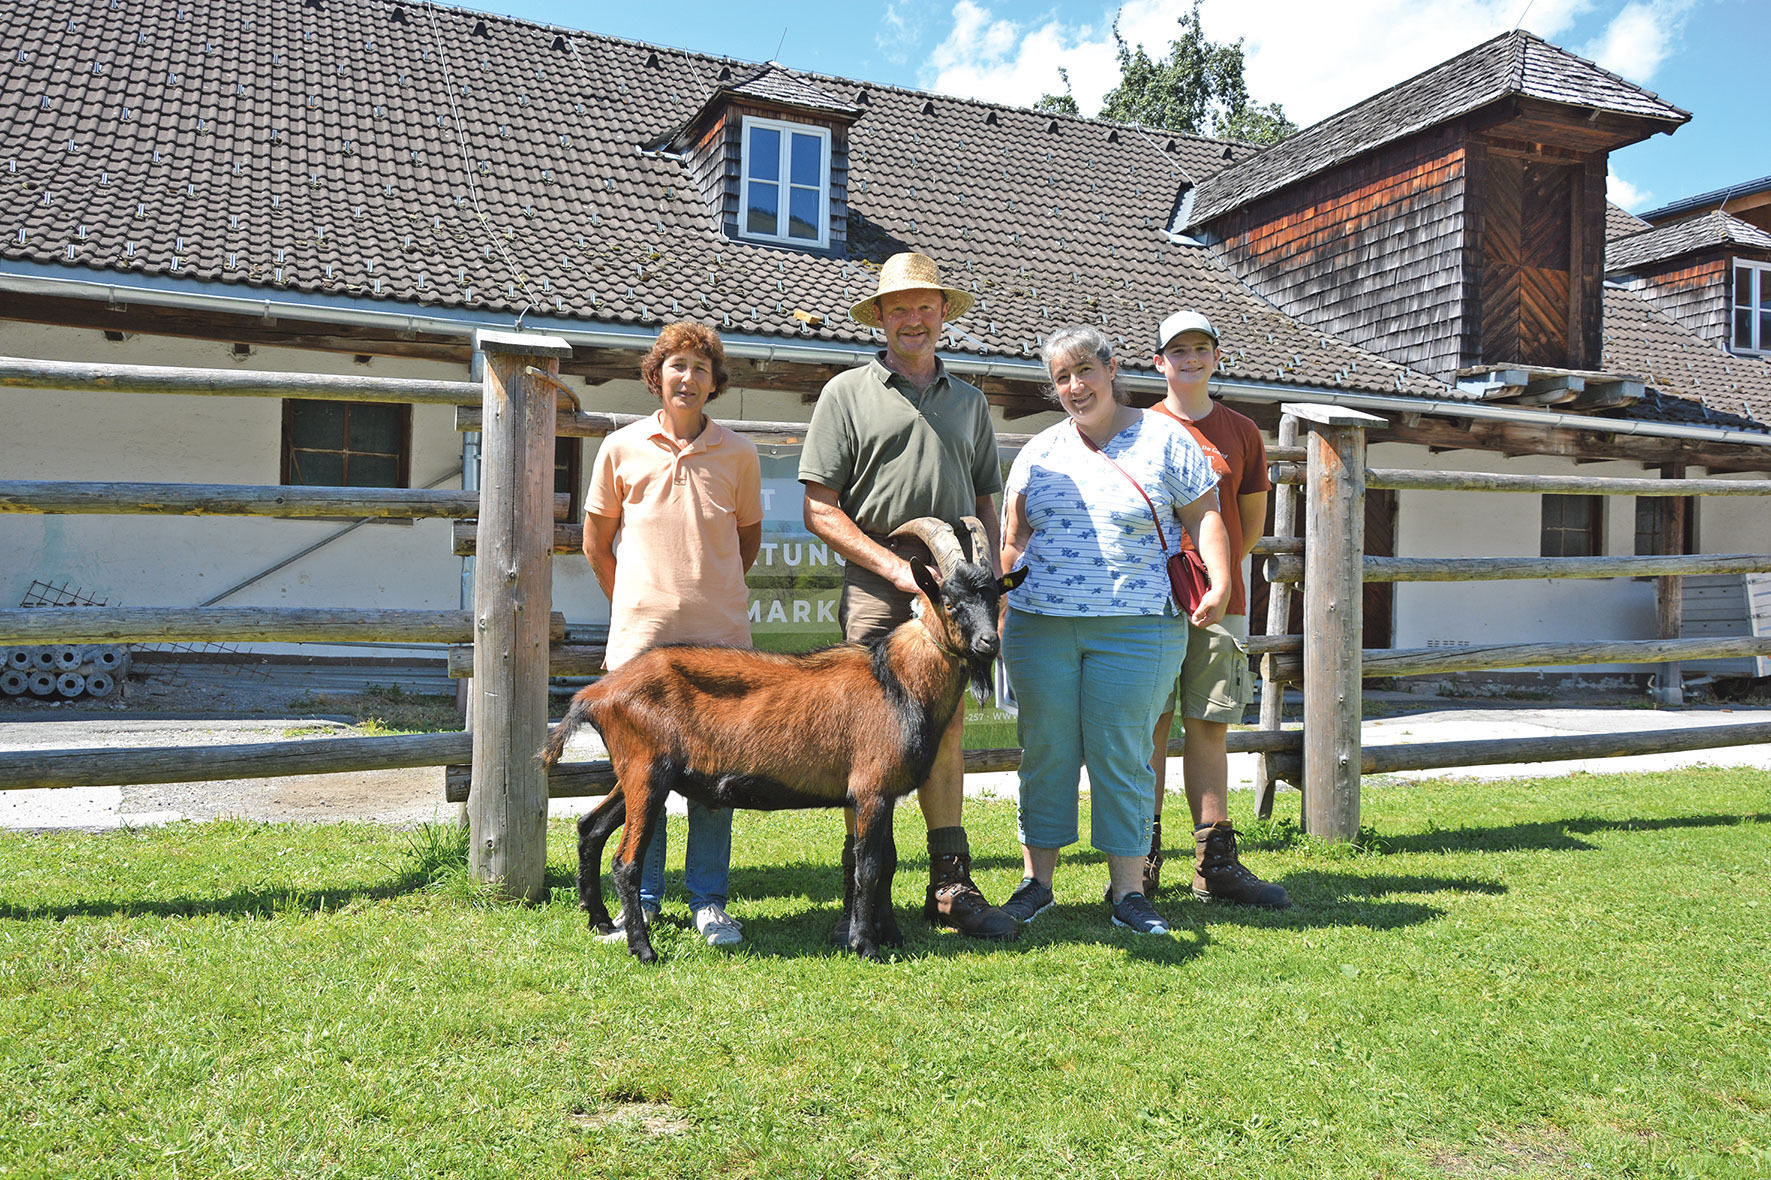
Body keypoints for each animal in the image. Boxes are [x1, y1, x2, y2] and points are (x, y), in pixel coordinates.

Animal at [534, 520, 1027, 963]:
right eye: (950, 601)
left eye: (995, 595)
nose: (989, 643)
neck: (897, 681)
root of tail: (595, 694)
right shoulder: (870, 788)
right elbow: (869, 866)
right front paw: (866, 945)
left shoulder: (881, 792)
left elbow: (886, 862)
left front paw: (891, 936)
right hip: (646, 772)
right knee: (626, 860)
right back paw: (643, 949)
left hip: (636, 773)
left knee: (590, 827)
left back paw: (599, 921)